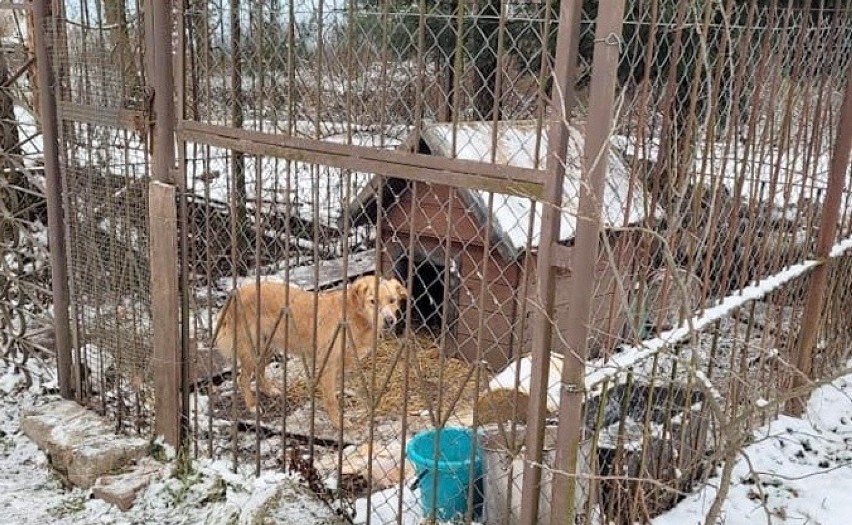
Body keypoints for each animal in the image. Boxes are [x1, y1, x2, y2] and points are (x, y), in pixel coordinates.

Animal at [216, 274, 410, 426]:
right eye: (372, 301)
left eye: (392, 301)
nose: (389, 320)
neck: (353, 316)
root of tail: (237, 293)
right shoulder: (328, 365)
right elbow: (330, 399)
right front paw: (338, 423)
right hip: (251, 348)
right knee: (242, 378)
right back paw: (252, 406)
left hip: (267, 346)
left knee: (259, 370)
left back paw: (269, 390)